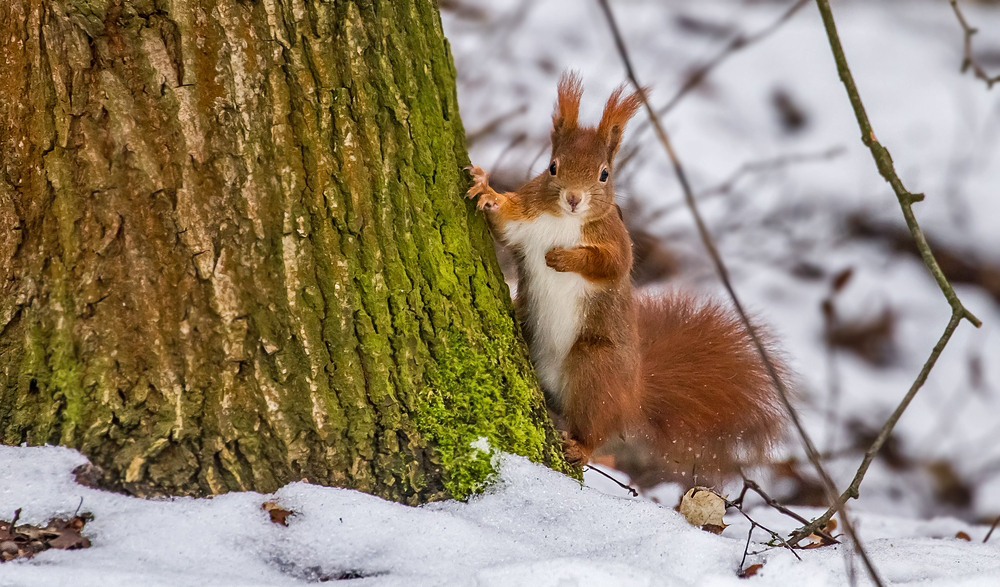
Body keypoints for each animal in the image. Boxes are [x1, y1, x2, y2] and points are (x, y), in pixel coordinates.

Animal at [464, 71, 784, 480]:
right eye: (552, 167)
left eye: (604, 174)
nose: (573, 199)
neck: (564, 221)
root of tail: (633, 395)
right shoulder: (525, 223)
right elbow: (504, 225)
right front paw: (485, 189)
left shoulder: (616, 240)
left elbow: (612, 266)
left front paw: (565, 257)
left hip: (596, 367)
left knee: (597, 428)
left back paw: (580, 446)